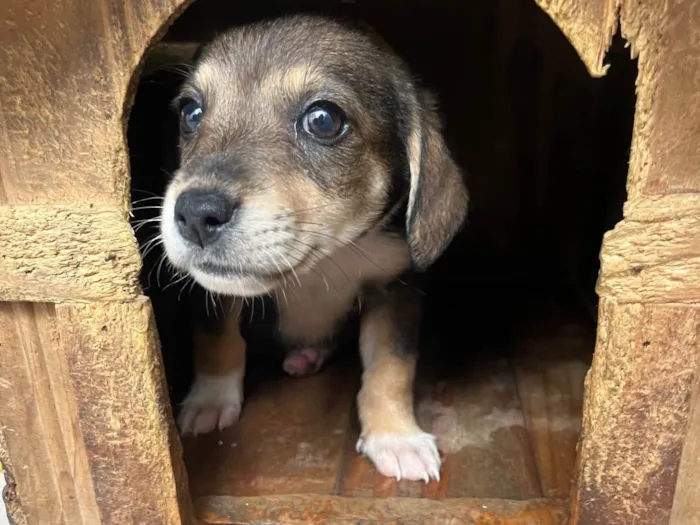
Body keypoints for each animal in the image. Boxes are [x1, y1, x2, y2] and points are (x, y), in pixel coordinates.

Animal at [156, 15, 468, 484]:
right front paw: (210, 401)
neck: (326, 258)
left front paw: (396, 436)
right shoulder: (211, 293)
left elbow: (391, 367)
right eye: (191, 113)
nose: (195, 213)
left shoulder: (395, 286)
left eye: (323, 120)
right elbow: (216, 337)